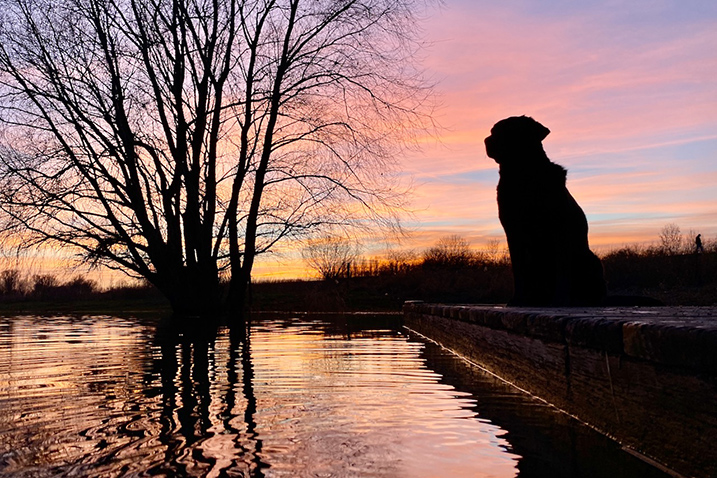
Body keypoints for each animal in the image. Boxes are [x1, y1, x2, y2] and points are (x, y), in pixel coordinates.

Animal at [486, 115, 604, 306]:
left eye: (507, 130)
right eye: (492, 131)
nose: (486, 140)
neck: (522, 176)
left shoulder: (559, 229)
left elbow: (562, 269)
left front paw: (560, 299)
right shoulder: (512, 231)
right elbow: (518, 270)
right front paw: (517, 299)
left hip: (591, 260)